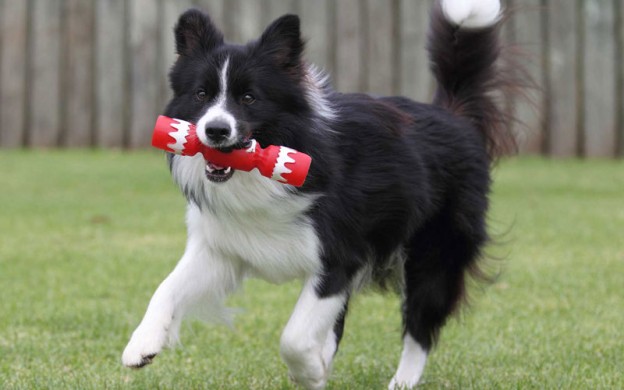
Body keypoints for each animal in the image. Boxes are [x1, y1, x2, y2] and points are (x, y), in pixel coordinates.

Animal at [122, 1, 516, 388]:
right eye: (201, 94)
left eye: (249, 98)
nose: (216, 130)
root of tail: (454, 114)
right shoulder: (222, 248)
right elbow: (167, 287)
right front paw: (141, 344)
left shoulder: (339, 256)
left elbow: (294, 337)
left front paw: (310, 370)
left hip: (434, 252)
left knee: (420, 328)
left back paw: (400, 380)